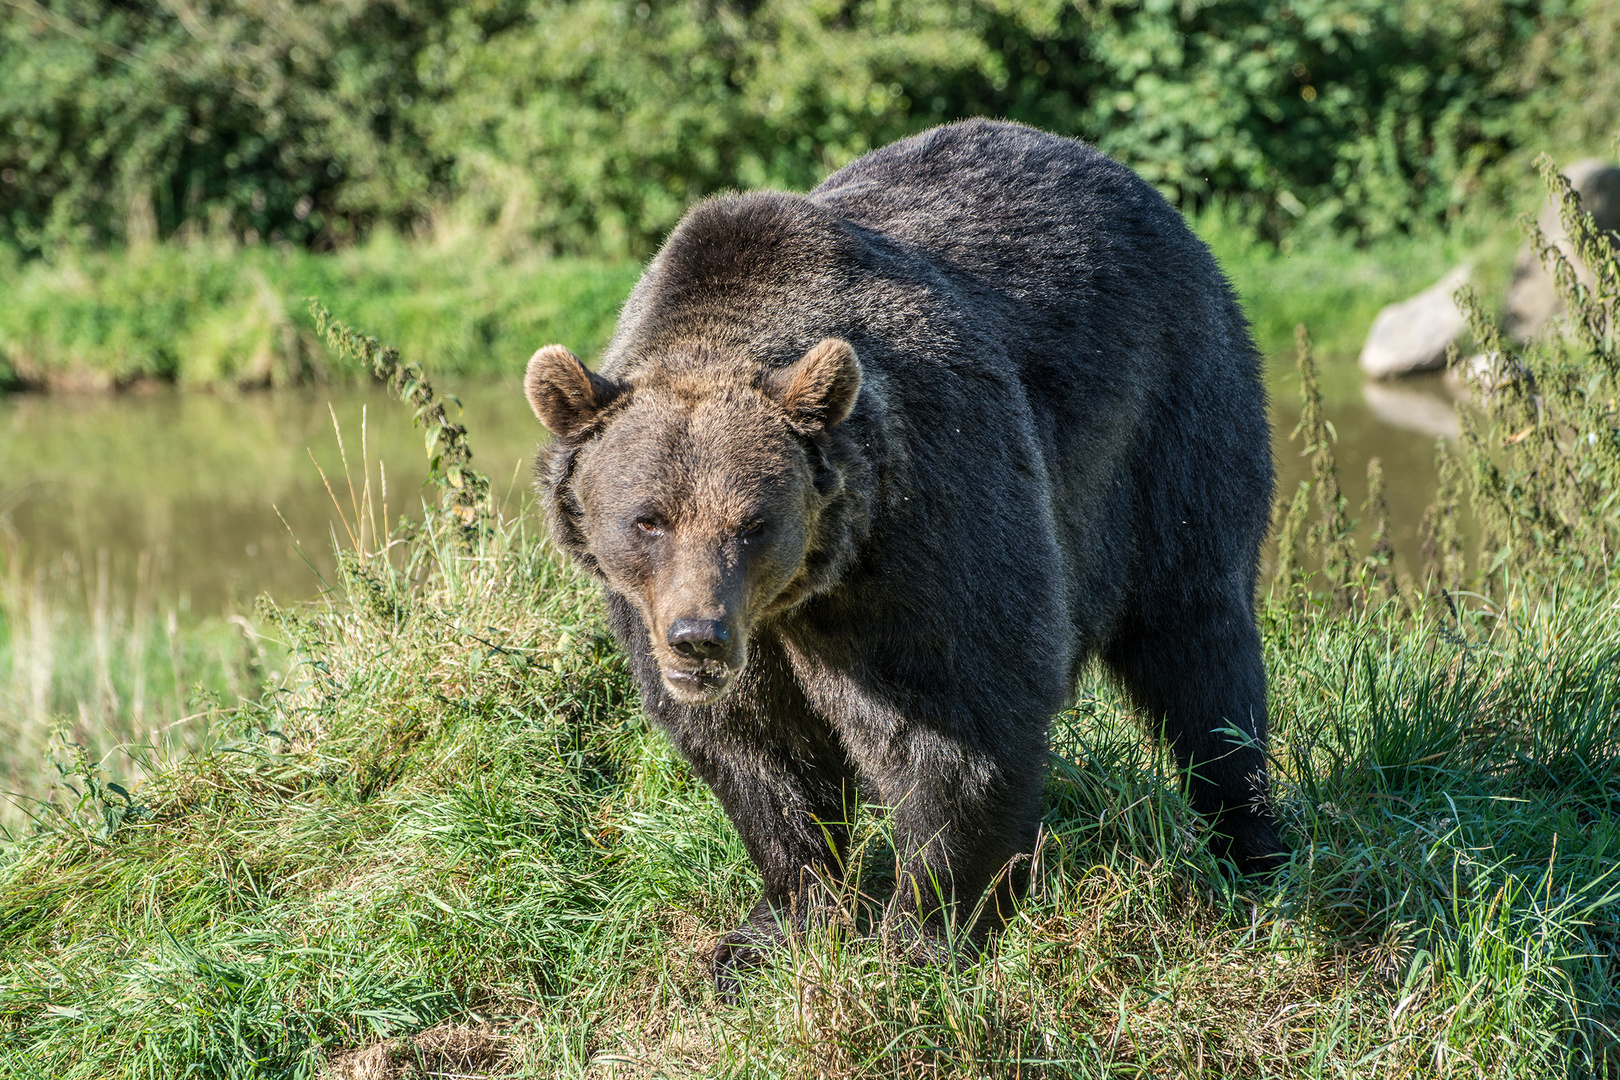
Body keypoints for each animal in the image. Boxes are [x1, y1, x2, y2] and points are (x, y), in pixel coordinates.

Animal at [524, 116, 1283, 997]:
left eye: (753, 523)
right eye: (648, 520)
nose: (697, 639)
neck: (803, 591)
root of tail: (1132, 183)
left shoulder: (922, 521)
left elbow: (957, 724)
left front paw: (926, 937)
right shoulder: (717, 626)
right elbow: (759, 755)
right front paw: (769, 931)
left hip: (1173, 426)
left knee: (1199, 651)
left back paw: (1250, 843)